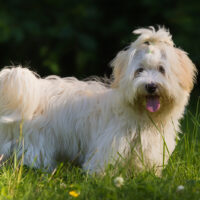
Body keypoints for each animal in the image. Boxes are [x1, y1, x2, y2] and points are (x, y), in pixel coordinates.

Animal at [0, 27, 197, 175]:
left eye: (162, 69)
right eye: (139, 70)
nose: (150, 86)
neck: (140, 115)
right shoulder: (111, 144)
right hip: (35, 140)